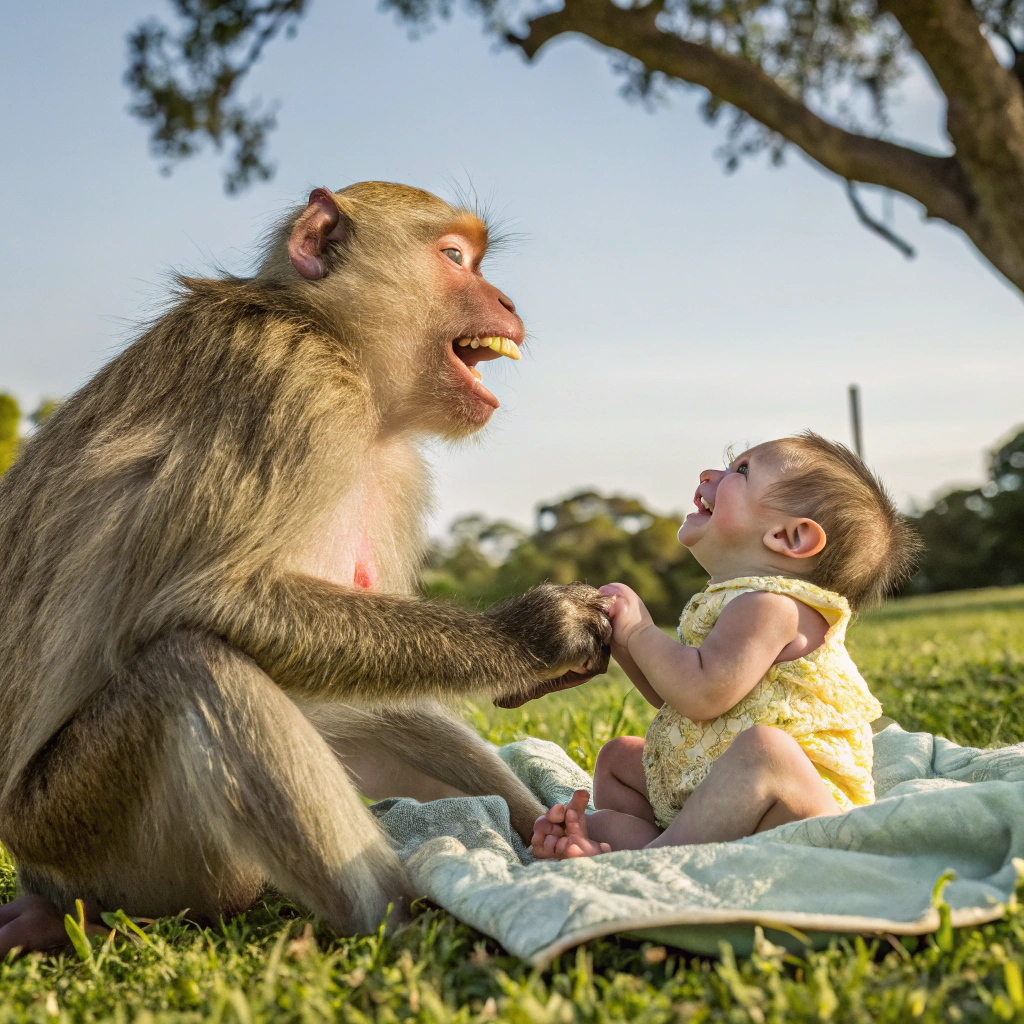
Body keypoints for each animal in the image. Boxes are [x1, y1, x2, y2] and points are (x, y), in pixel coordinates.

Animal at [0, 182, 611, 956]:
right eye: (453, 259)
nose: (506, 302)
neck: (338, 342)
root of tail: (38, 882)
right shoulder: (291, 381)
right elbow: (209, 600)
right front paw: (537, 634)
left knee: (368, 704)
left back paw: (549, 841)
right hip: (85, 834)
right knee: (193, 669)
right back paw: (408, 926)